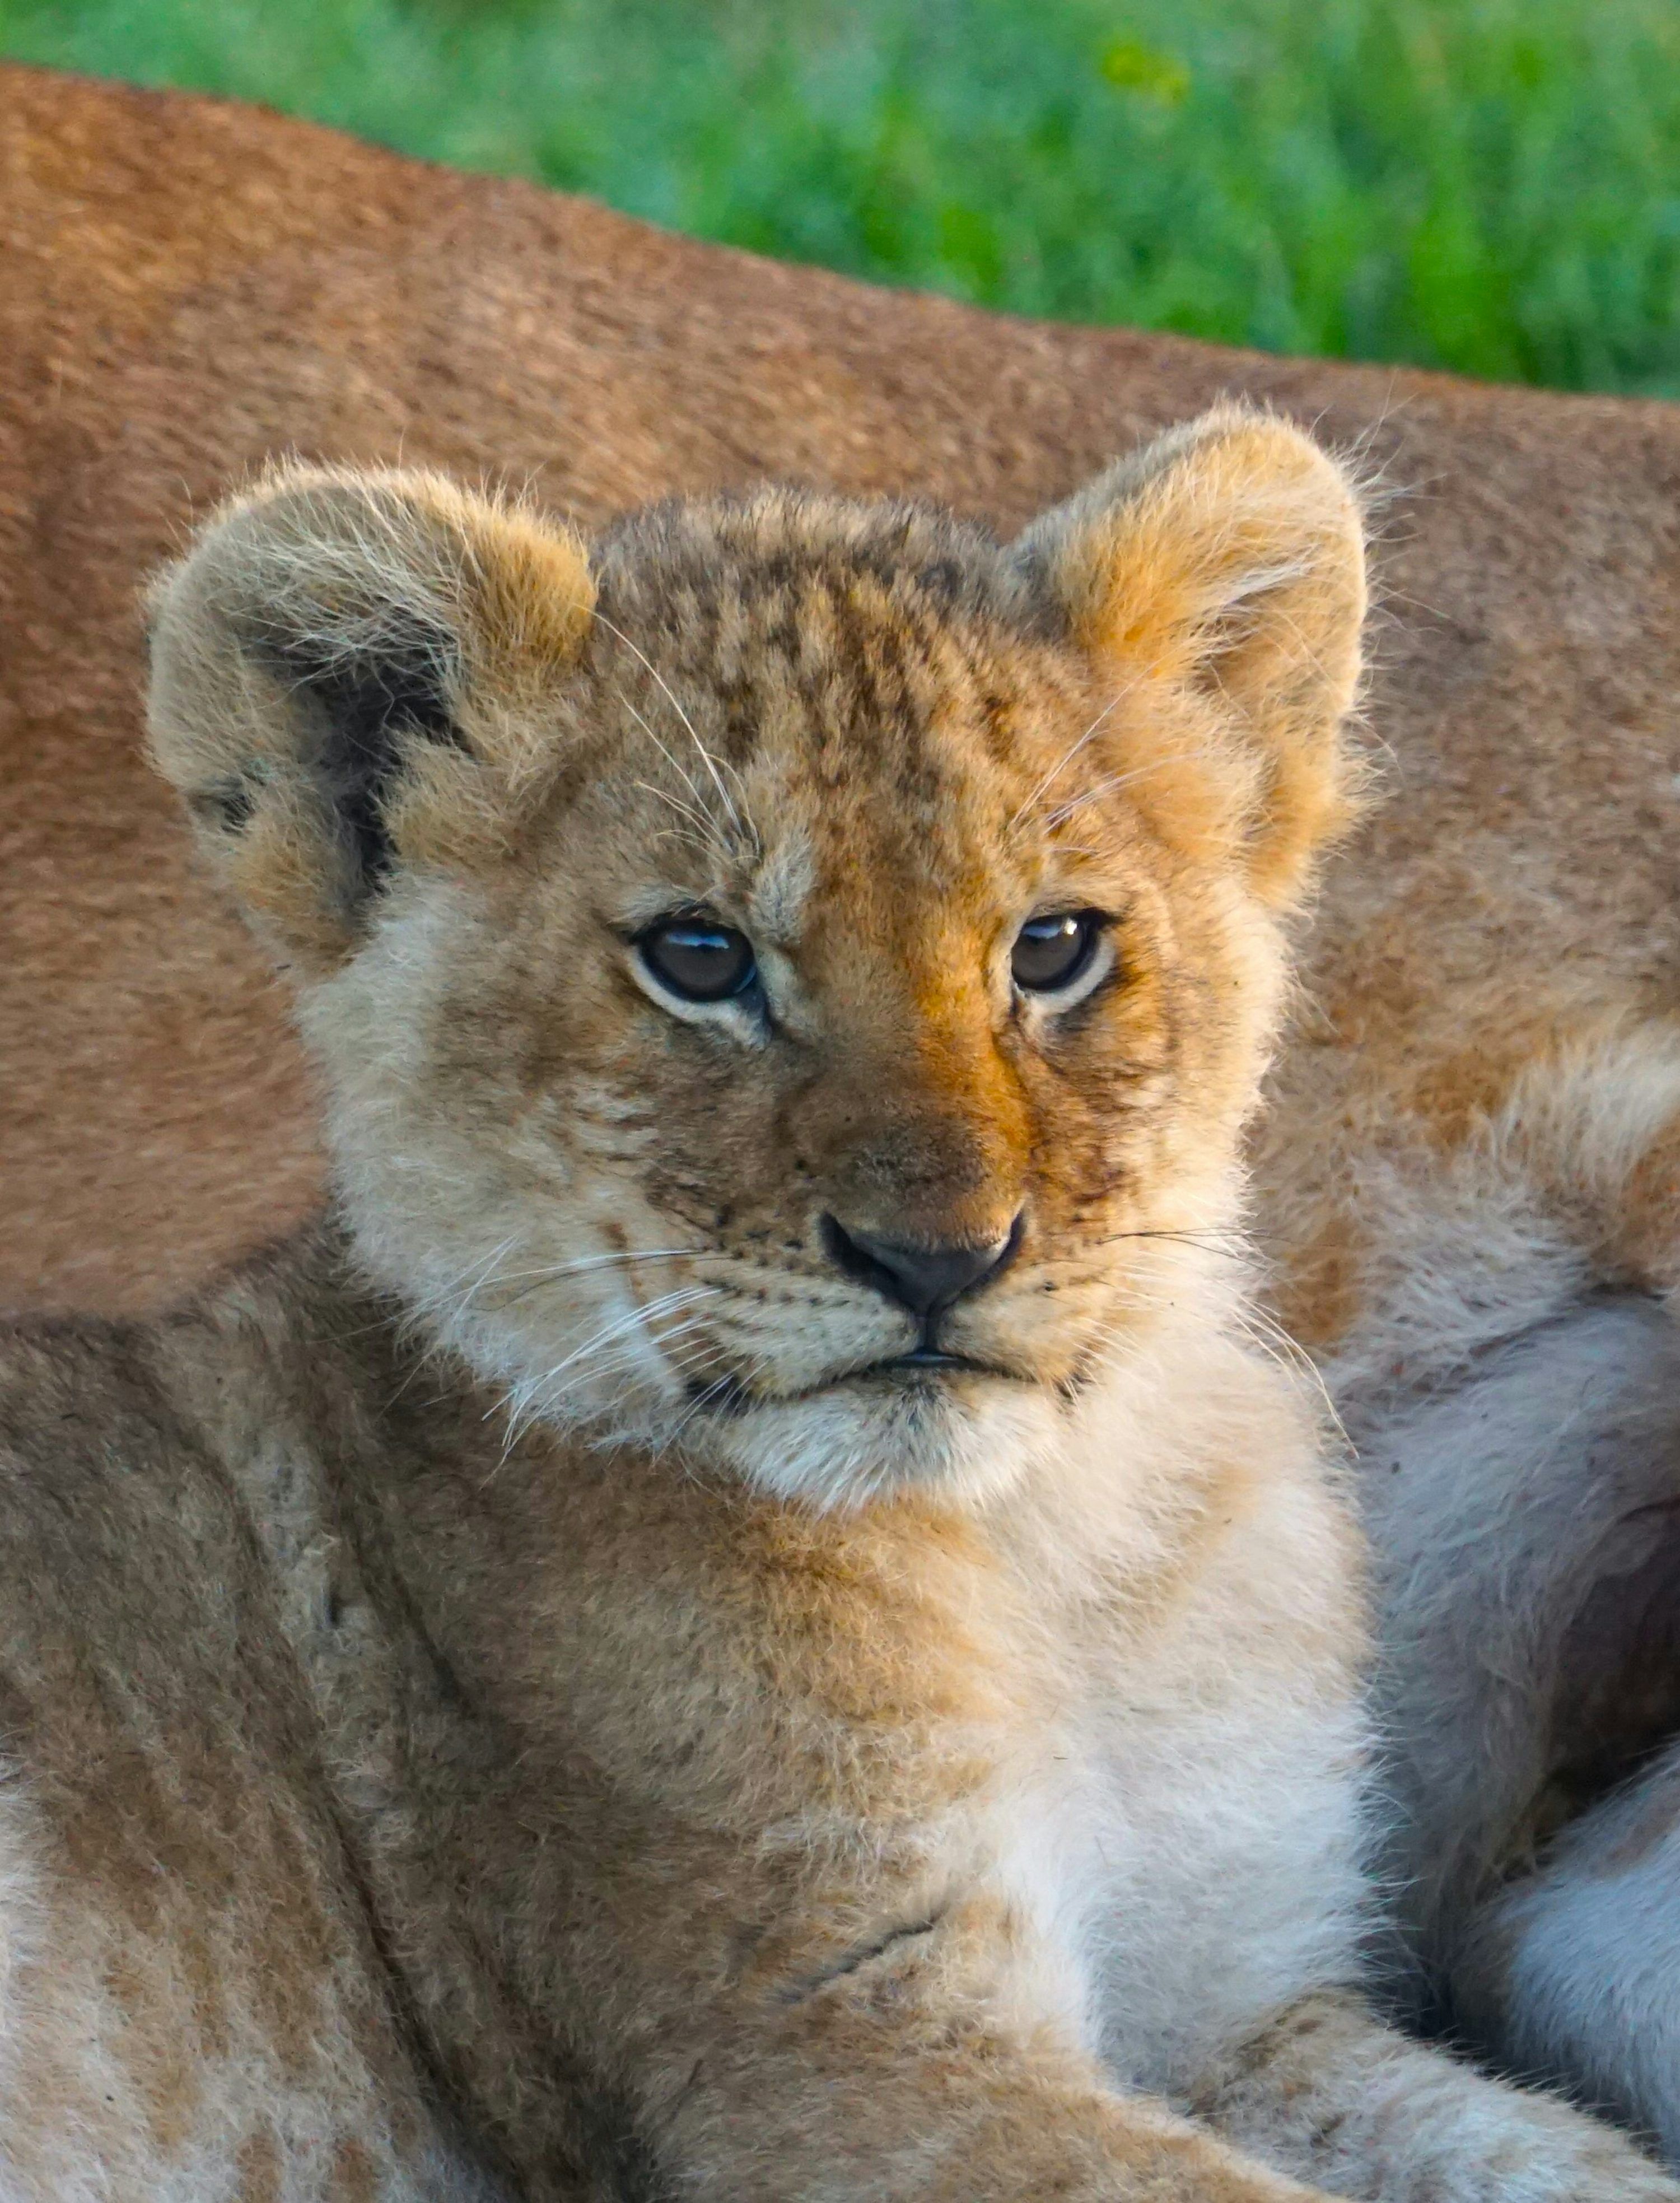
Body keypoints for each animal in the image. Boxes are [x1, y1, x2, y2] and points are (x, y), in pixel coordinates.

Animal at [6, 62, 1680, 2165]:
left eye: (1055, 948)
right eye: (699, 958)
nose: (937, 1259)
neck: (1065, 1557)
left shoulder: (1245, 2004)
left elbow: (1541, 2149)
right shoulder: (845, 2047)